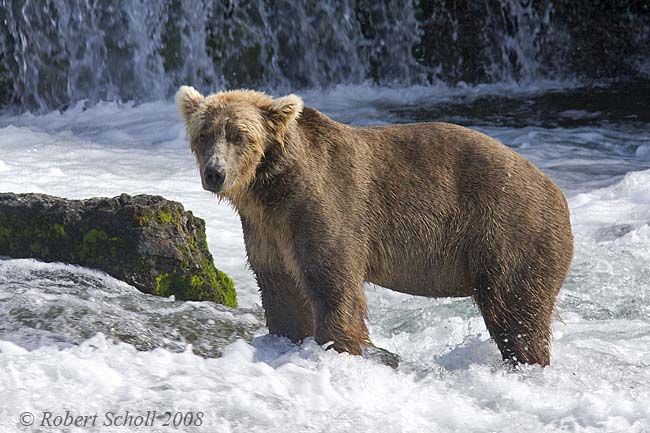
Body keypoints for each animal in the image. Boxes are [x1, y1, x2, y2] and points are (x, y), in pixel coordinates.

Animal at [176, 85, 574, 367]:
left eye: (239, 135)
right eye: (203, 134)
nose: (215, 173)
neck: (271, 189)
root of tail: (557, 191)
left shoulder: (326, 207)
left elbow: (333, 284)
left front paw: (341, 347)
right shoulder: (267, 231)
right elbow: (281, 290)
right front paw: (289, 337)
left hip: (510, 230)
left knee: (514, 310)